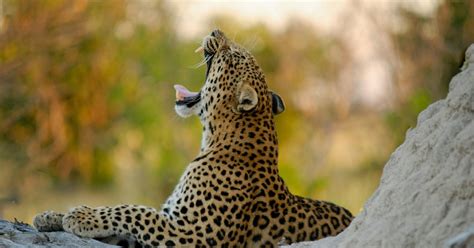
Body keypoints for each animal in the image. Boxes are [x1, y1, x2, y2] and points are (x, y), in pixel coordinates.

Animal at [33, 29, 352, 248]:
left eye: (234, 56)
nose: (216, 31)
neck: (215, 138)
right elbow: (126, 218)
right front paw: (52, 216)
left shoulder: (194, 234)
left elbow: (136, 210)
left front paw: (80, 216)